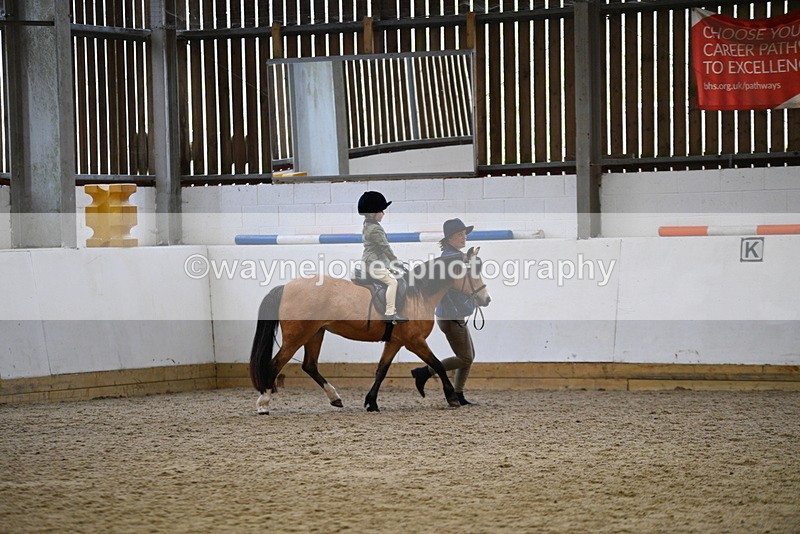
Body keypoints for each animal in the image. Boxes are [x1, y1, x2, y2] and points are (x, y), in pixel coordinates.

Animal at [249, 246, 491, 414]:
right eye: (472, 273)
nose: (486, 299)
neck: (418, 294)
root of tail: (285, 288)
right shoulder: (415, 341)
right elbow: (438, 364)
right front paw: (452, 397)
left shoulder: (395, 342)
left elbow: (381, 370)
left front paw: (371, 402)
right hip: (297, 337)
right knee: (274, 365)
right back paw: (264, 404)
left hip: (315, 333)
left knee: (310, 366)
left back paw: (335, 398)